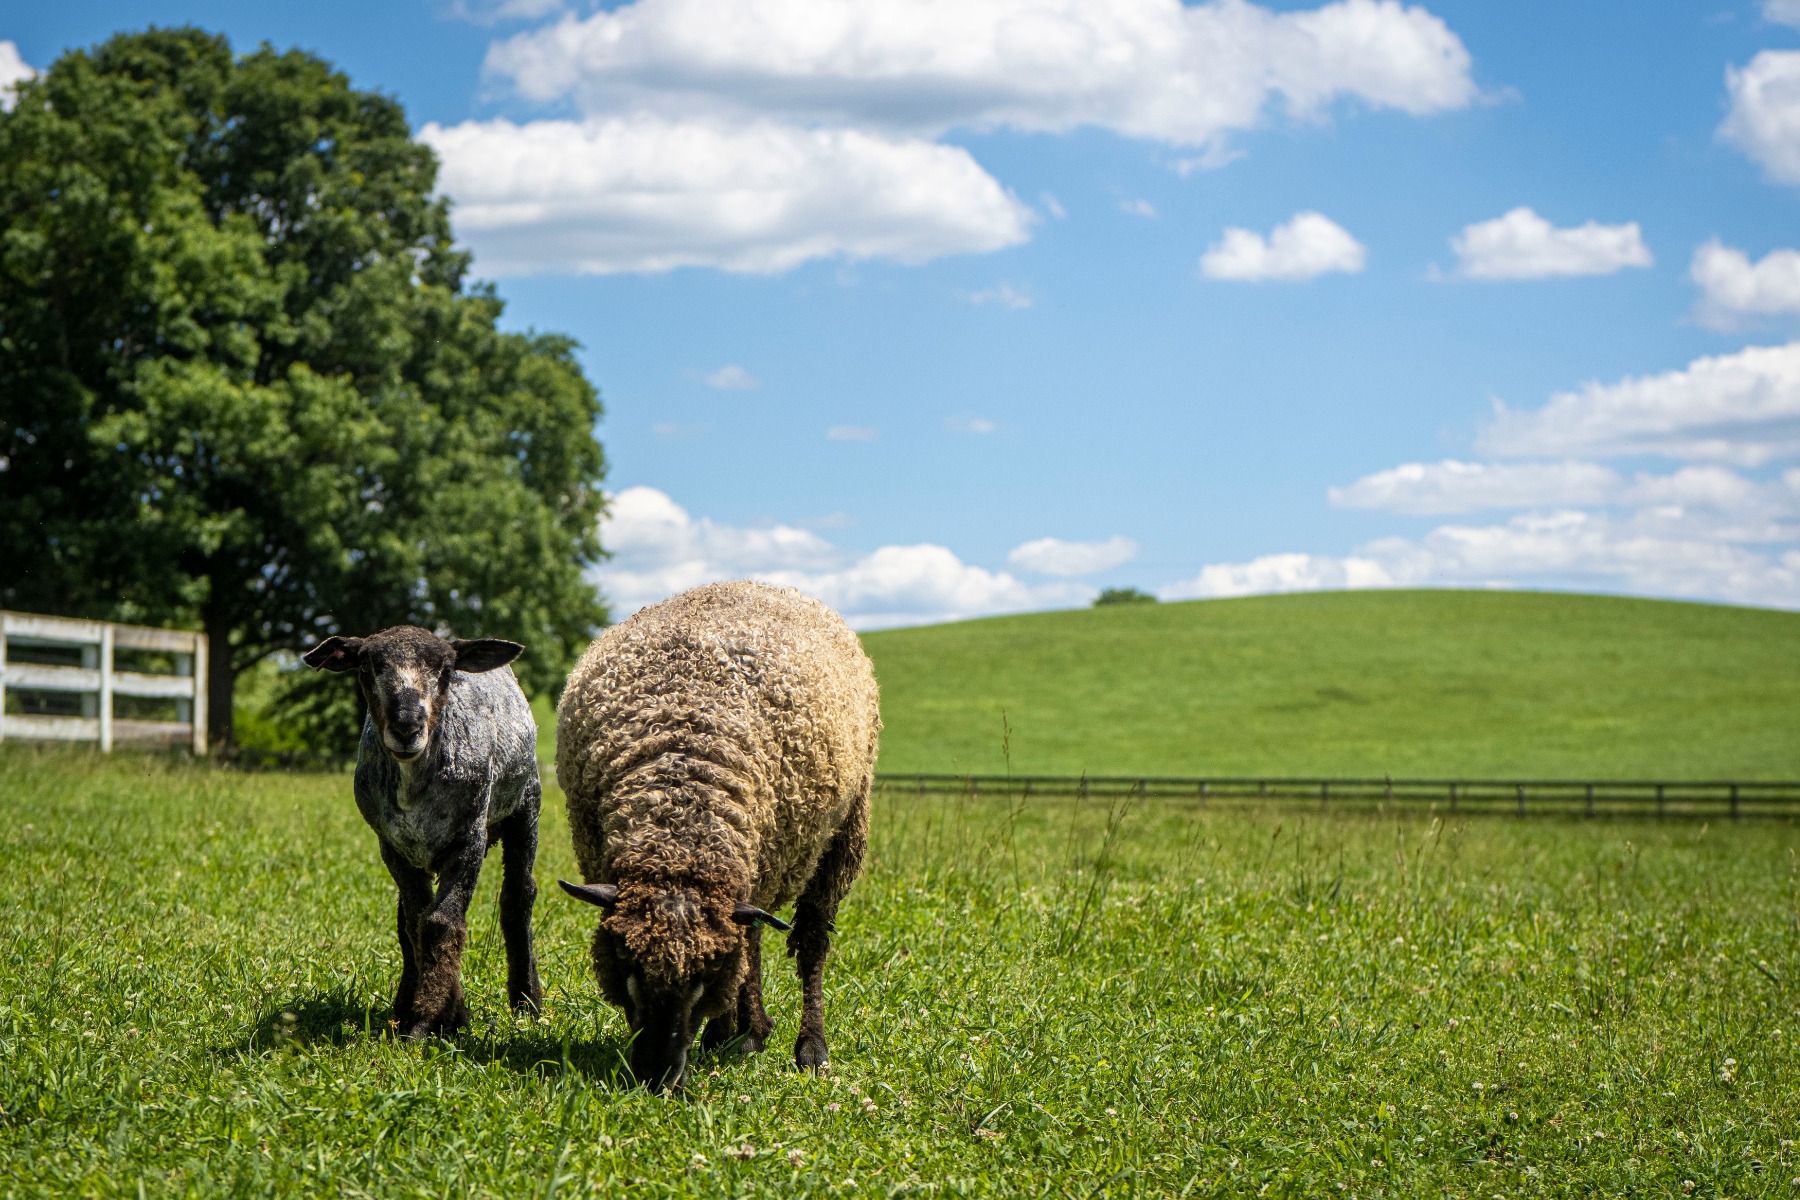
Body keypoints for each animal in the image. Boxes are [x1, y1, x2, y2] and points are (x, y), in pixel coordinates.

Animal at [302, 629, 543, 1043]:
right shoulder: (393, 848)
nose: (406, 727)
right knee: (407, 917)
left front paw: (432, 1021)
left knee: (519, 897)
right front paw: (440, 1014)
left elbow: (441, 922)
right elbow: (417, 923)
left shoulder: (468, 840)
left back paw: (528, 1002)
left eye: (445, 670)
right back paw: (404, 1003)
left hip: (526, 806)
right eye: (367, 667)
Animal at [554, 579, 878, 1086]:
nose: (656, 1078)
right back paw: (748, 1030)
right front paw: (732, 1031)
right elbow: (745, 948)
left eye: (705, 974)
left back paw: (809, 1047)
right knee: (756, 936)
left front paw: (729, 1032)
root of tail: (762, 583)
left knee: (811, 943)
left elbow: (746, 951)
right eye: (628, 963)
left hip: (843, 832)